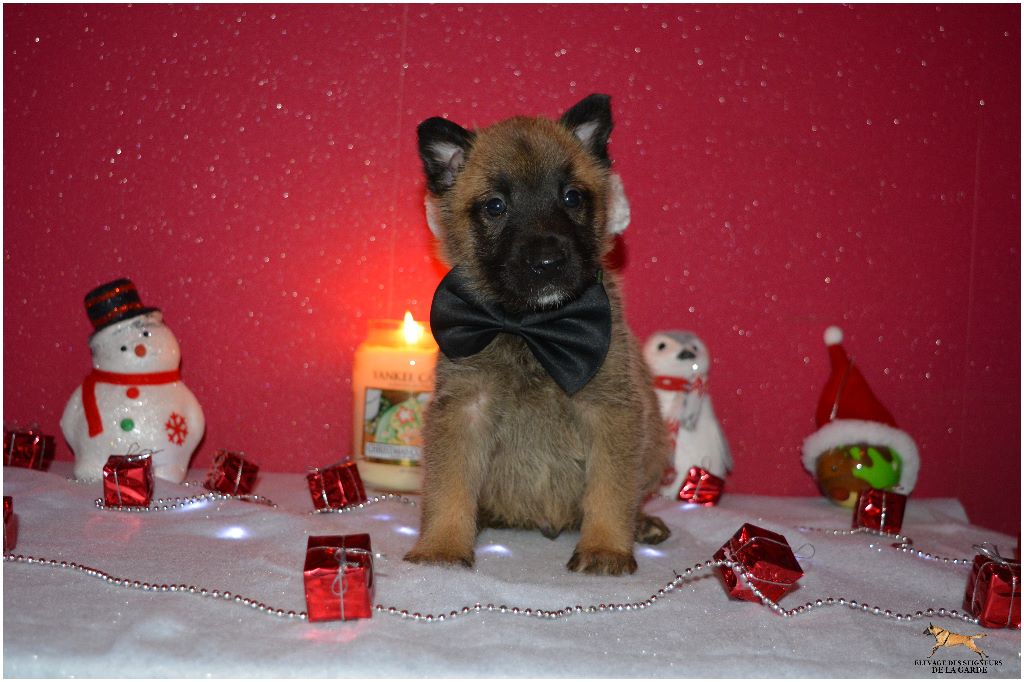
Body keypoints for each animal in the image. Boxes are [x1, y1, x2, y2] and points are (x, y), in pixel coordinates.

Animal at [403, 94, 671, 576]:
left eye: (572, 196)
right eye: (495, 206)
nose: (547, 262)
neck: (532, 329)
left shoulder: (610, 411)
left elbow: (610, 490)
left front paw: (605, 547)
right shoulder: (464, 410)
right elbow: (449, 487)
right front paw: (443, 547)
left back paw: (641, 523)